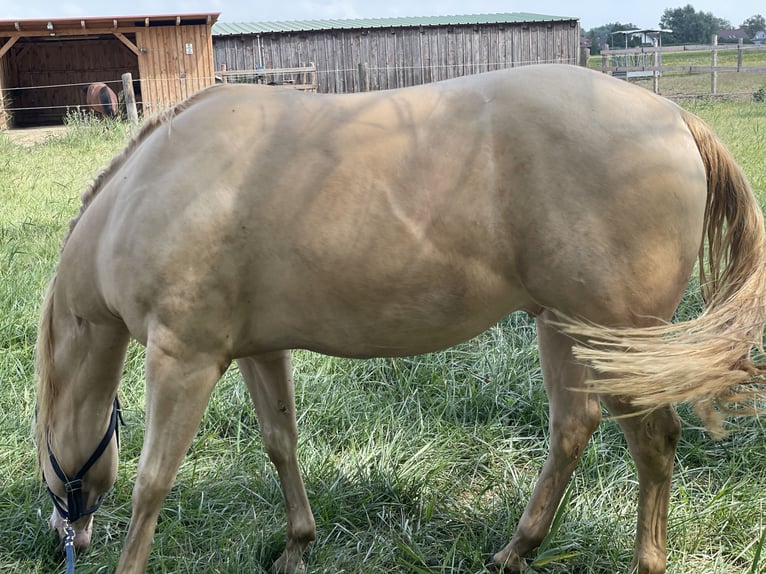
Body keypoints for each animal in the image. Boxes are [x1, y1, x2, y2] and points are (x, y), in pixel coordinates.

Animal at [36, 64, 766, 574]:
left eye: (42, 447)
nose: (64, 538)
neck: (153, 189)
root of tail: (674, 117)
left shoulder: (182, 359)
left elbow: (152, 482)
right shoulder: (257, 349)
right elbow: (280, 442)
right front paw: (297, 545)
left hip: (619, 343)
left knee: (655, 444)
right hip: (563, 326)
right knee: (572, 429)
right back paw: (515, 550)